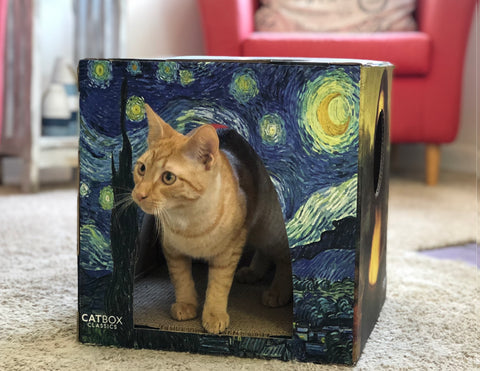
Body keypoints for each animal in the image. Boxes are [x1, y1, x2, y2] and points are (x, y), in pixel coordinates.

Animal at [130, 104, 292, 334]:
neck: (188, 218)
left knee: (283, 257)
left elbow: (218, 286)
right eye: (142, 168)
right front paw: (186, 304)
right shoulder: (172, 250)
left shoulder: (228, 252)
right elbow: (181, 280)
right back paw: (253, 272)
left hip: (269, 229)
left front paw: (214, 315)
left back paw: (278, 291)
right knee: (264, 253)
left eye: (168, 178)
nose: (139, 194)